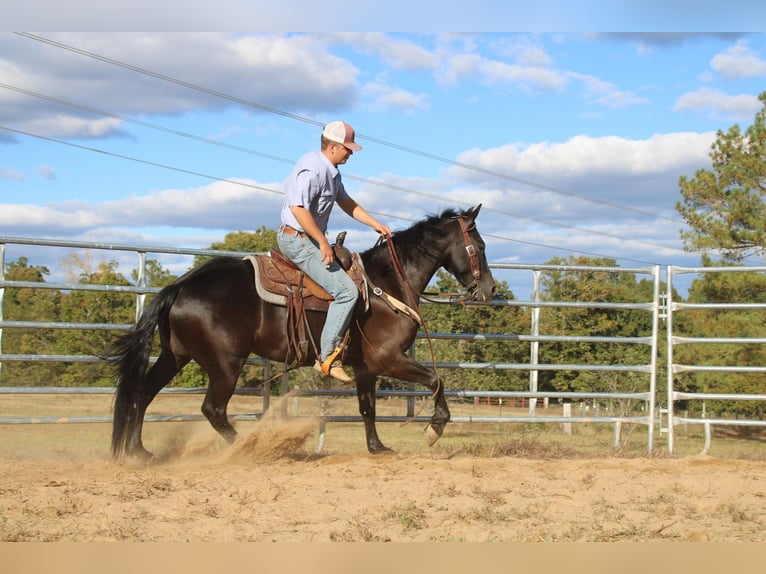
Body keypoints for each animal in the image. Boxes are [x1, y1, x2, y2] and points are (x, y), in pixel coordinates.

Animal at [112, 205, 498, 462]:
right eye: (479, 248)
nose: (490, 289)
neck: (386, 283)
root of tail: (179, 286)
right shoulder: (387, 359)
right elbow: (436, 380)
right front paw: (435, 428)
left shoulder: (365, 367)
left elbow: (367, 407)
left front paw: (377, 448)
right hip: (225, 363)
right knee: (213, 409)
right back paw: (251, 446)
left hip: (176, 355)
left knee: (143, 393)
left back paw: (139, 451)